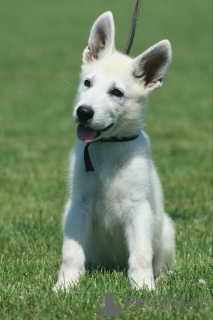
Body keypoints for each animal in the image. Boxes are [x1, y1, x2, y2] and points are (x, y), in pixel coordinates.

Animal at [54, 10, 176, 290]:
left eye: (116, 92)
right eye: (87, 82)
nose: (83, 112)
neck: (108, 146)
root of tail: (111, 265)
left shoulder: (138, 207)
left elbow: (141, 253)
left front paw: (143, 286)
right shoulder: (79, 204)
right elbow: (71, 251)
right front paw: (66, 285)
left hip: (167, 230)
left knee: (162, 261)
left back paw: (163, 276)